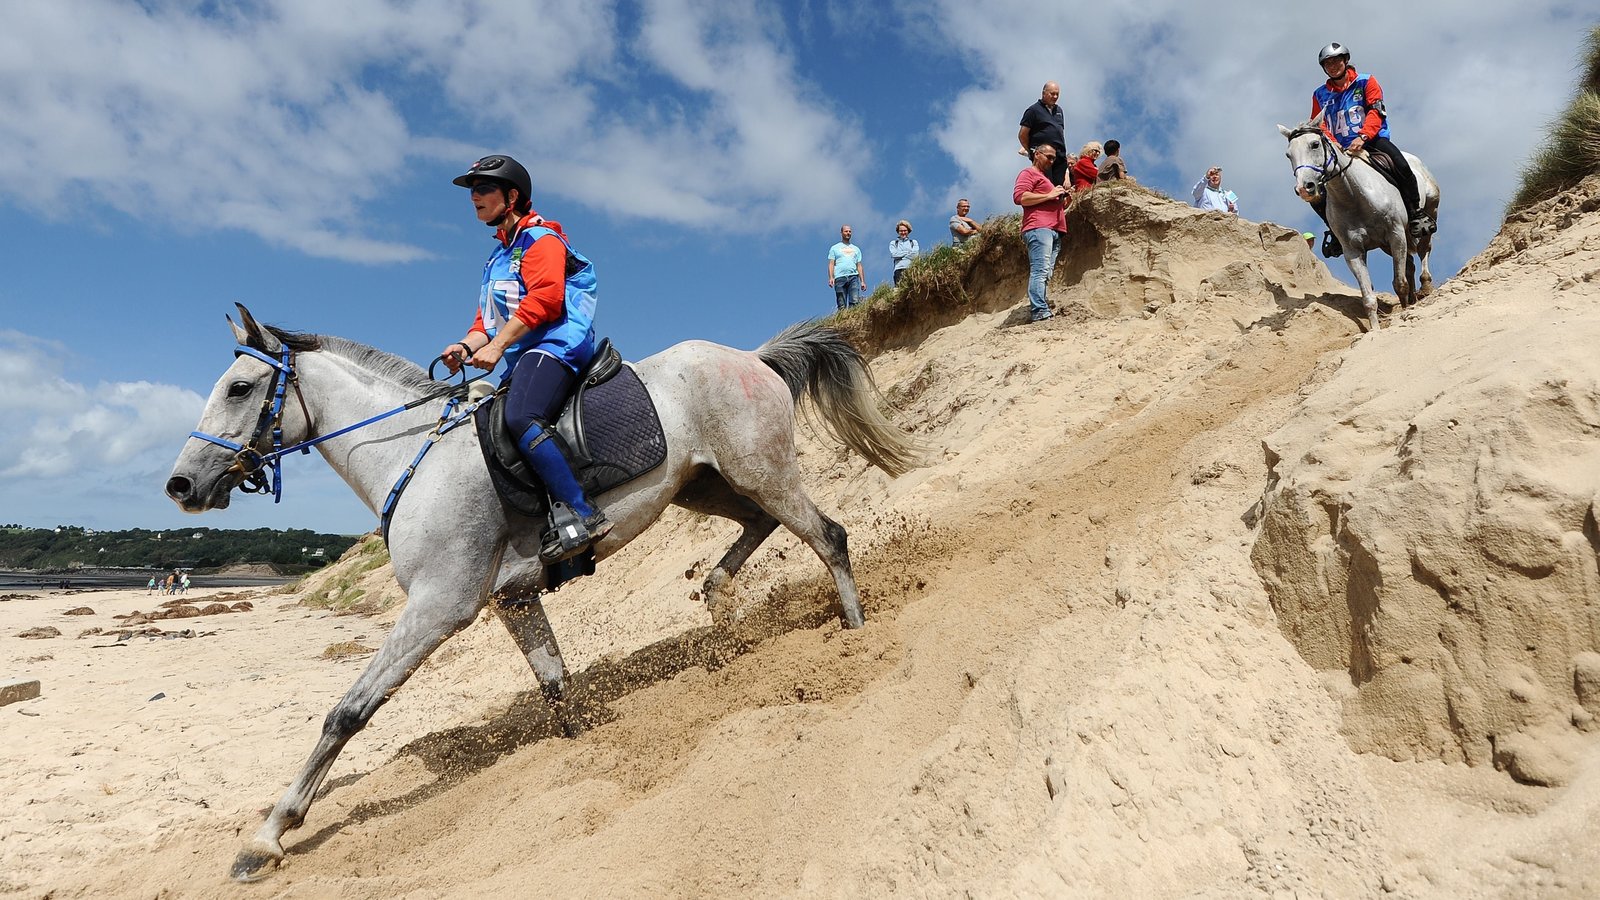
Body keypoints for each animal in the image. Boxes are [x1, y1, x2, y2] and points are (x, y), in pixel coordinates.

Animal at [164, 304, 928, 877]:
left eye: (238, 389)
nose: (181, 486)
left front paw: (269, 835)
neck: (415, 457)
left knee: (829, 536)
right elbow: (557, 683)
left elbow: (347, 713)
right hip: (711, 485)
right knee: (762, 525)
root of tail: (752, 356)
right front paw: (583, 745)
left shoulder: (439, 608)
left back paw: (854, 633)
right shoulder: (514, 601)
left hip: (760, 470)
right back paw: (719, 595)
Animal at [1280, 117, 1446, 329]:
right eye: (1288, 154)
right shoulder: (1353, 252)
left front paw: (1404, 311)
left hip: (1428, 213)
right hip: (1387, 245)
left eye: (1314, 144)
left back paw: (1425, 287)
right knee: (1409, 264)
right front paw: (1375, 328)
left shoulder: (1396, 235)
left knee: (1424, 249)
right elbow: (1368, 297)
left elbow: (1399, 283)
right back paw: (1413, 298)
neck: (1353, 196)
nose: (1304, 188)